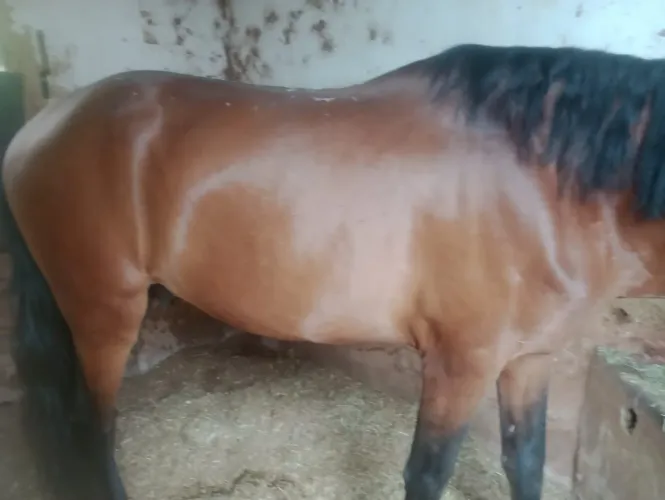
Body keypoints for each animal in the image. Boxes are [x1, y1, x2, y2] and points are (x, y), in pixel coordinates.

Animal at [3, 42, 665, 500]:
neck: (545, 185)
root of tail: (41, 126)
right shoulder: (460, 364)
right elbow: (427, 474)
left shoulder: (530, 360)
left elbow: (523, 465)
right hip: (104, 314)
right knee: (94, 430)